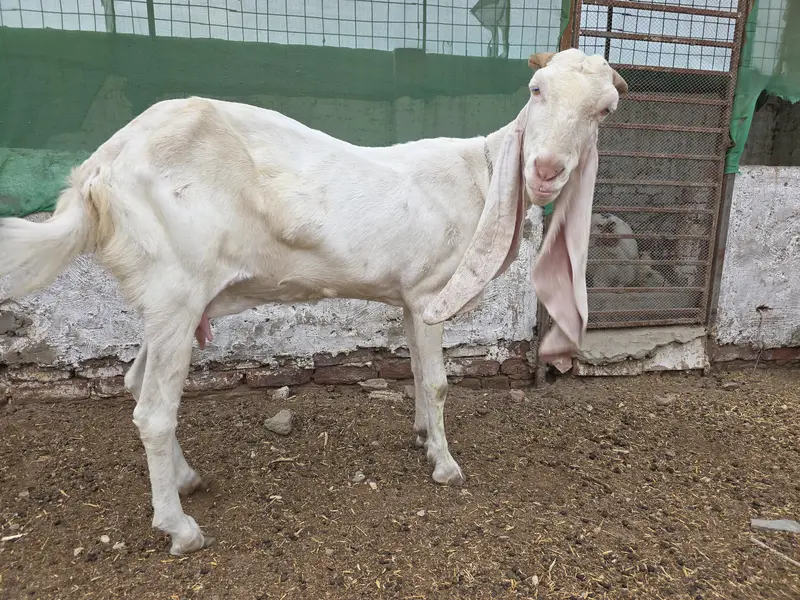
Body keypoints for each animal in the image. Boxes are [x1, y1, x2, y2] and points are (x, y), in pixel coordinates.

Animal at [0, 48, 627, 555]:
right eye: (535, 89)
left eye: (604, 111)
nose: (546, 172)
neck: (481, 173)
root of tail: (99, 168)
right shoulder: (429, 291)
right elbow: (439, 382)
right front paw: (447, 467)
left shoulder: (409, 297)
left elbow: (417, 374)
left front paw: (424, 438)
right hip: (175, 288)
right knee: (153, 410)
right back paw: (180, 529)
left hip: (165, 298)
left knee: (136, 384)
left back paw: (185, 479)